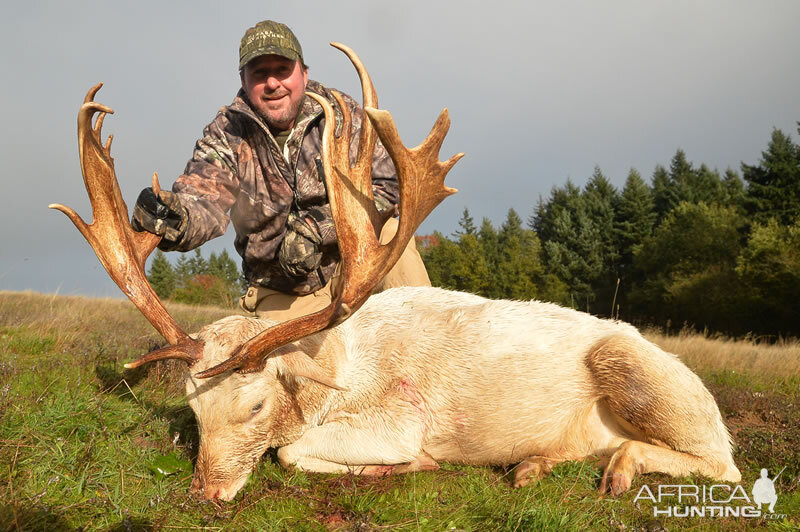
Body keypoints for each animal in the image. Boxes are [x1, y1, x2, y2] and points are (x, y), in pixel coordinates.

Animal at [48, 42, 736, 502]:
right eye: (193, 409)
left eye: (255, 403)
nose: (205, 494)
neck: (329, 373)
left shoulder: (400, 421)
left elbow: (291, 452)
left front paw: (411, 467)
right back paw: (534, 466)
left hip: (641, 372)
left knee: (722, 463)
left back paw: (620, 470)